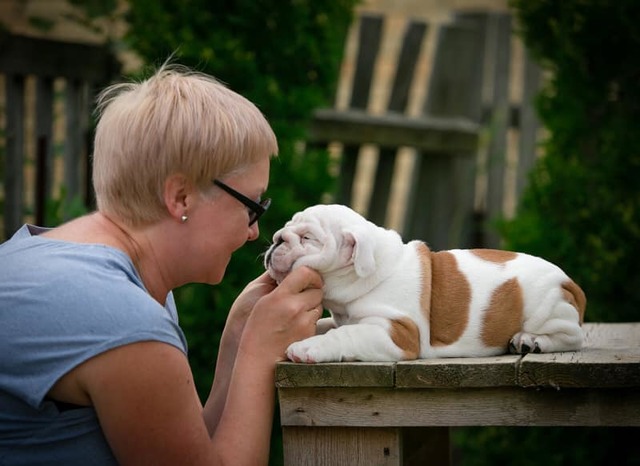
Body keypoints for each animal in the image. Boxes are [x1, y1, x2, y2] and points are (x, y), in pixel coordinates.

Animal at [262, 205, 588, 364]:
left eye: (308, 238)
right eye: (288, 228)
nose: (278, 238)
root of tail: (571, 282)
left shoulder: (398, 332)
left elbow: (345, 335)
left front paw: (307, 347)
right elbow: (329, 327)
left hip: (545, 307)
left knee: (573, 336)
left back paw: (531, 340)